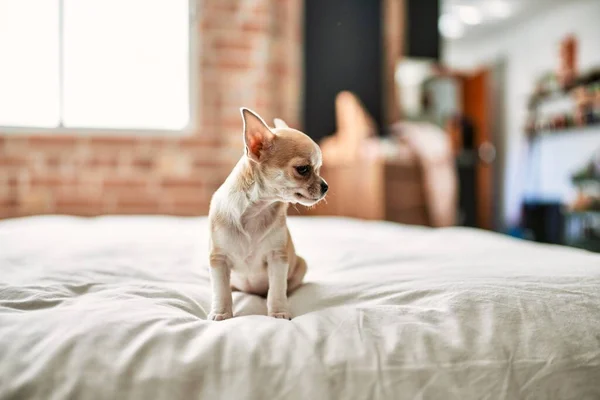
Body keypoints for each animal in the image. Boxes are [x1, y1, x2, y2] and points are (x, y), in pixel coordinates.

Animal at [206, 108, 328, 320]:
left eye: (319, 169)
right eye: (303, 169)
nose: (325, 186)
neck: (256, 210)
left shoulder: (277, 258)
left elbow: (276, 289)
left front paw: (278, 312)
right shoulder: (218, 259)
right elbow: (221, 290)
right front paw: (221, 312)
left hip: (301, 265)